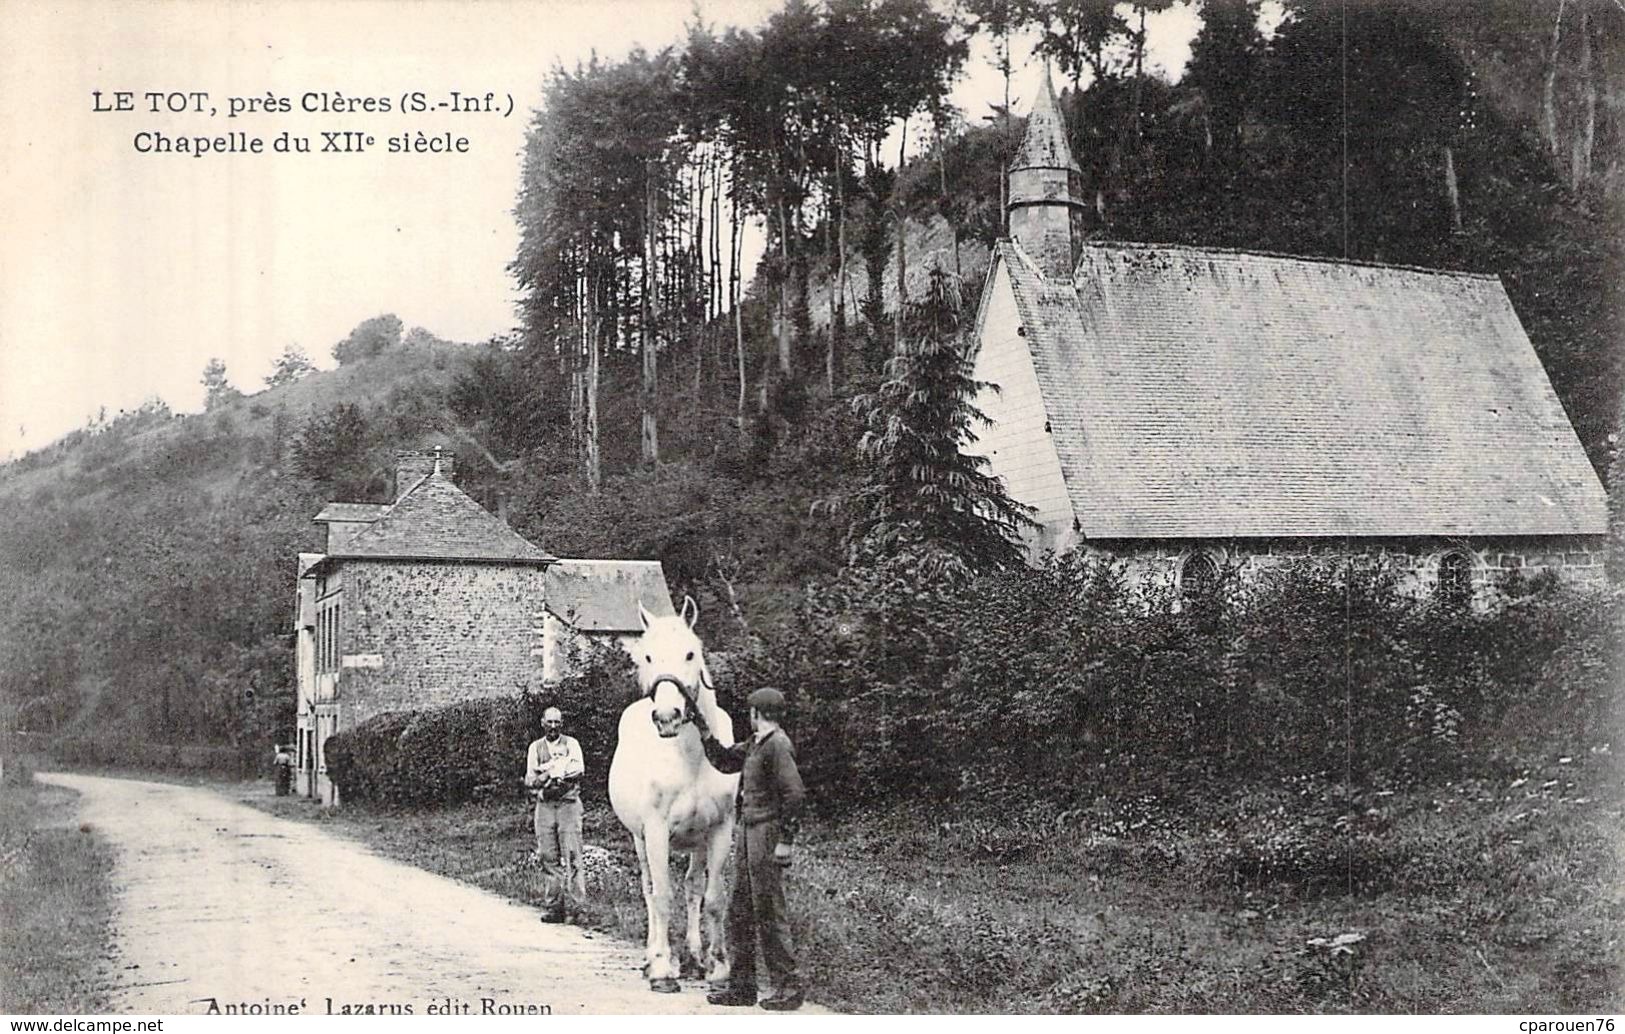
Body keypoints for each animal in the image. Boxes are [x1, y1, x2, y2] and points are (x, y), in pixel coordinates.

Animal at [607, 598, 741, 994]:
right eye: (648, 656)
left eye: (690, 653)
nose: (667, 717)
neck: (692, 758)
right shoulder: (654, 832)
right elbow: (662, 897)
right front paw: (664, 969)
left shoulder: (720, 830)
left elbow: (712, 898)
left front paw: (718, 968)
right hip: (638, 839)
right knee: (650, 889)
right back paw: (652, 957)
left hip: (697, 842)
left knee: (693, 887)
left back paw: (694, 957)